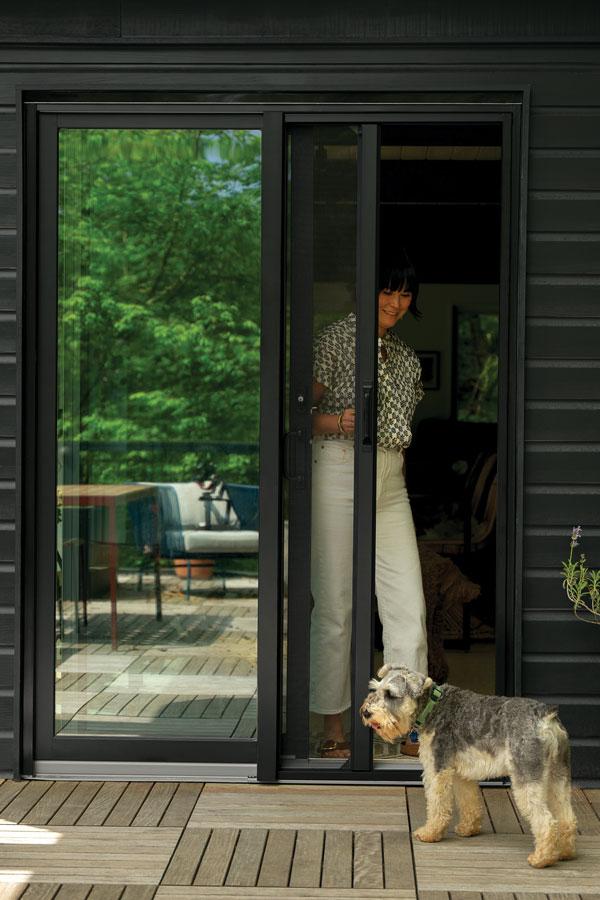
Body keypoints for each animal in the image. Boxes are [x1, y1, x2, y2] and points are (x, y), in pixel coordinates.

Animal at [360, 664, 576, 868]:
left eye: (391, 694)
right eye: (376, 689)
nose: (366, 712)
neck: (433, 706)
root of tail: (545, 716)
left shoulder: (437, 769)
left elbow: (437, 805)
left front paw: (430, 833)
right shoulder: (461, 775)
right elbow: (469, 802)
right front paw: (468, 829)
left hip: (527, 779)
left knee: (546, 821)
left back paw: (542, 859)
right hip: (558, 777)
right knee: (567, 817)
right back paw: (564, 852)